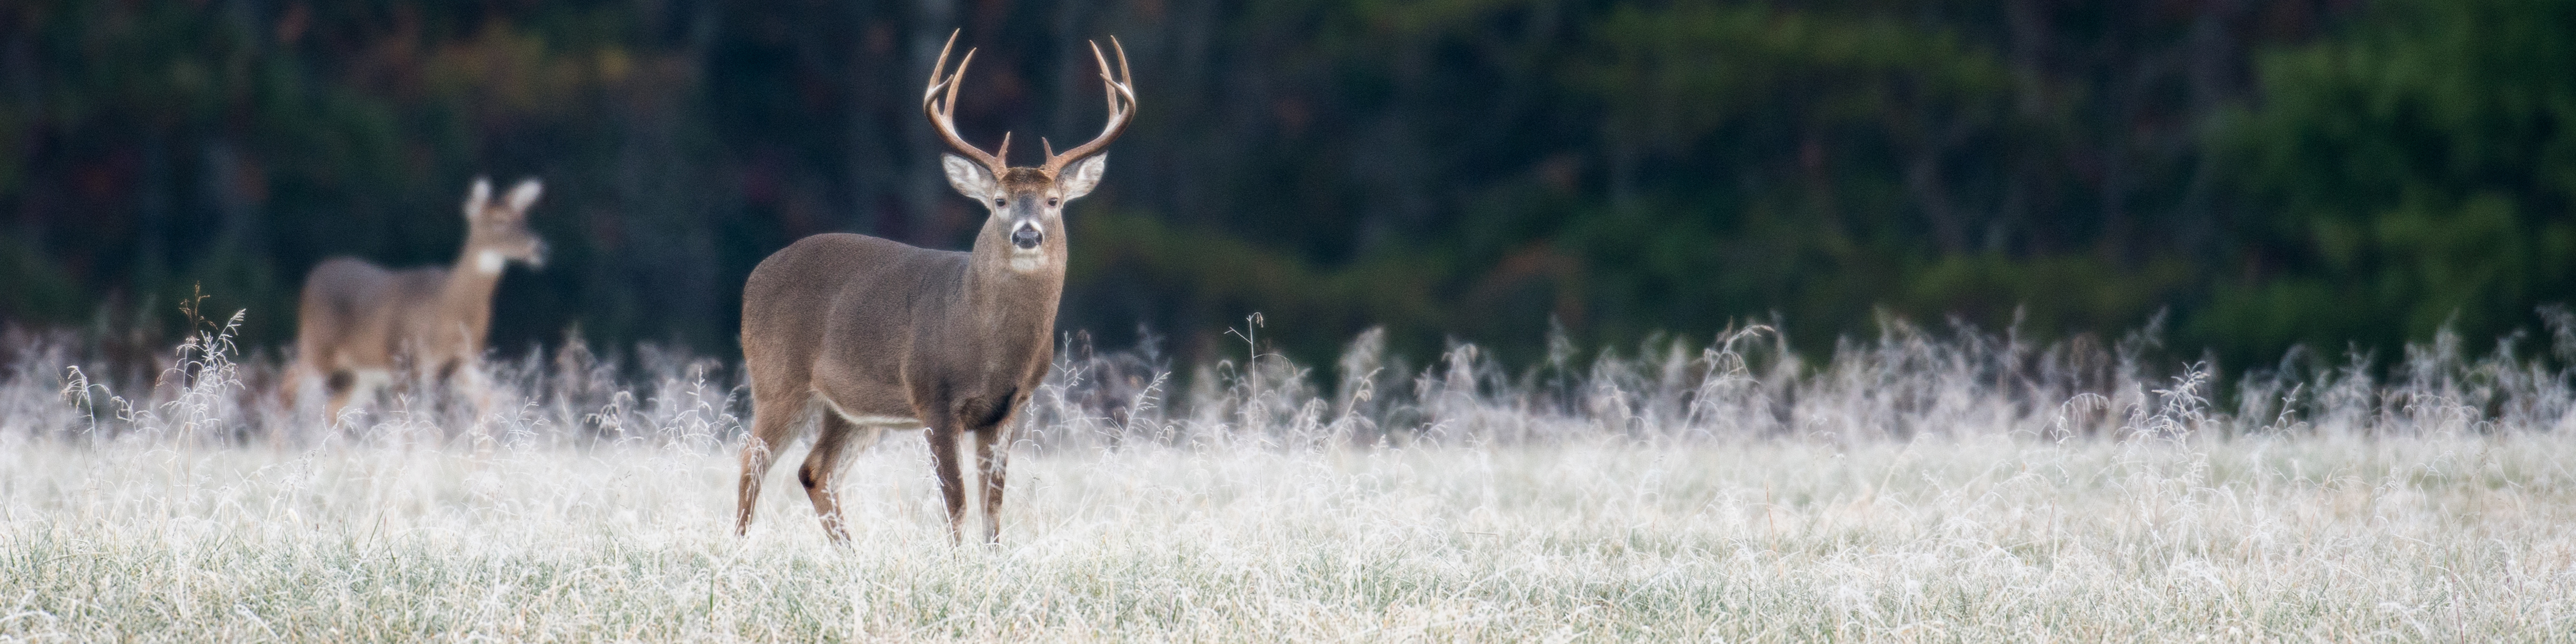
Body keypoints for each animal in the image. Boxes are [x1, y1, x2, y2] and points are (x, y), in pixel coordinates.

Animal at [282, 177, 548, 430]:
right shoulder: (403, 357)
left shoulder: (462, 360)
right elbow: (411, 422)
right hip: (319, 344)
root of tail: (313, 276)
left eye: (525, 219)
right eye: (499, 220)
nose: (540, 249)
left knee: (332, 409)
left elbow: (493, 400)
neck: (448, 308)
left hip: (361, 372)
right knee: (290, 384)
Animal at [734, 31, 1134, 545]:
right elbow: (956, 504)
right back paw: (739, 551)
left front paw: (991, 558)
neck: (986, 342)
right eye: (999, 201)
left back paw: (852, 556)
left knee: (815, 470)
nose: (1027, 235)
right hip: (777, 378)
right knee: (752, 461)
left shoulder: (1009, 408)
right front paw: (955, 560)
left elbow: (993, 508)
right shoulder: (934, 397)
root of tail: (754, 276)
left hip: (852, 408)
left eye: (1054, 201)